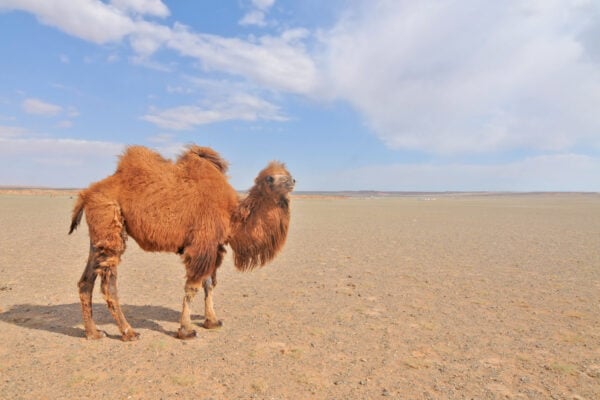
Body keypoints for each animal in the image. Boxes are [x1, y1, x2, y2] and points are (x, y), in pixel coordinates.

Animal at [69, 145, 294, 340]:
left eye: (287, 173)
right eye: (270, 178)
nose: (292, 181)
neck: (233, 216)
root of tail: (86, 194)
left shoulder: (213, 246)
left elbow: (209, 284)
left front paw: (212, 321)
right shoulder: (202, 244)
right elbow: (193, 287)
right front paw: (186, 330)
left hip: (99, 236)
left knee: (86, 281)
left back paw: (93, 333)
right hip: (110, 225)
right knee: (109, 285)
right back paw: (129, 332)